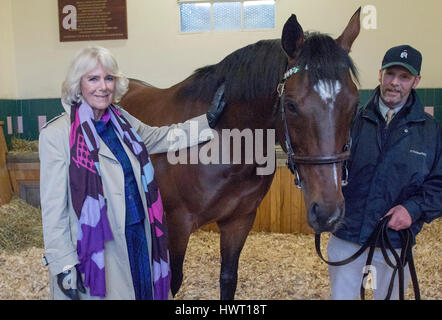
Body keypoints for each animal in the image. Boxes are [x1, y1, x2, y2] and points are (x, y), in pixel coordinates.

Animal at [119, 8, 360, 298]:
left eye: (354, 105)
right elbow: (173, 282)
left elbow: (228, 279)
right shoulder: (177, 225)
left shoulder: (239, 221)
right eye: (291, 105)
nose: (328, 213)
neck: (222, 142)